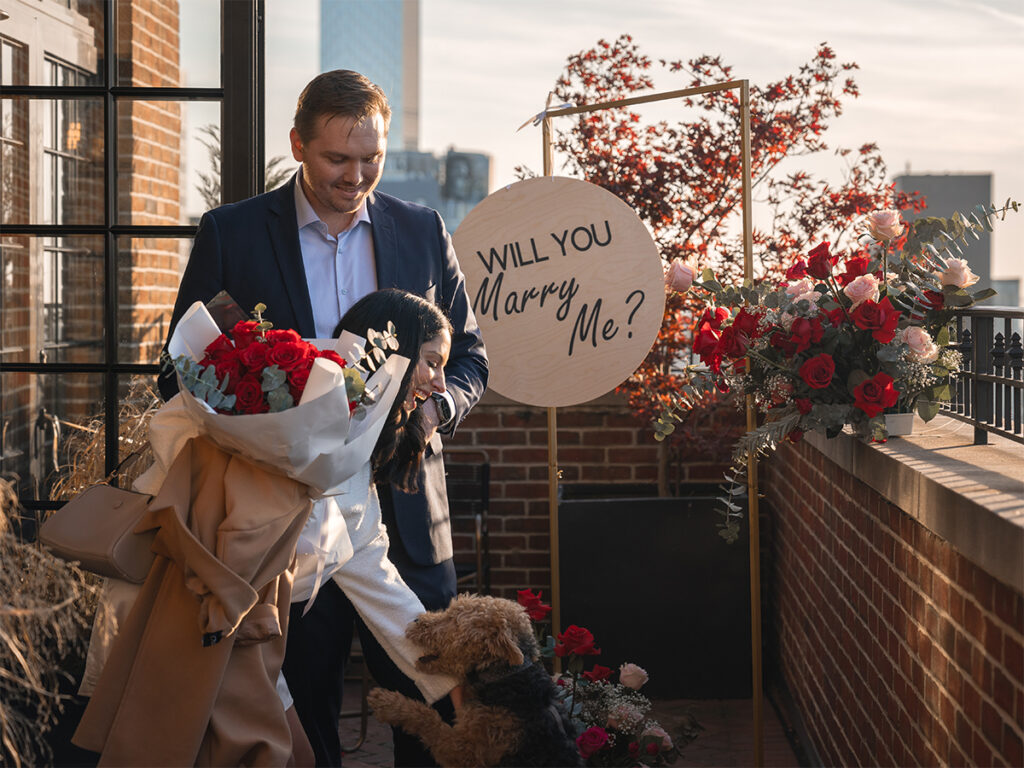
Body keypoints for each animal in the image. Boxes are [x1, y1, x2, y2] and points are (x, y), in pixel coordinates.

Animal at [368, 593, 581, 768]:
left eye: (454, 620)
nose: (416, 619)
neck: (505, 677)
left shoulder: (468, 754)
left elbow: (429, 719)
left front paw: (385, 702)